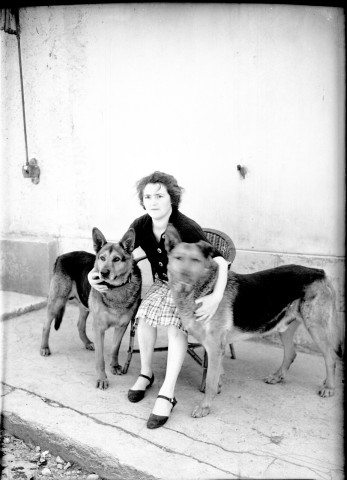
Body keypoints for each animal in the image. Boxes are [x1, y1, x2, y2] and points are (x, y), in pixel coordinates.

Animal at [41, 227, 143, 388]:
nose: (103, 273)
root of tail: (62, 256)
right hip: (57, 302)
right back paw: (44, 347)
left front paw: (114, 366)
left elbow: (115, 348)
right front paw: (102, 379)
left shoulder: (122, 326)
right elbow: (100, 359)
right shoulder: (99, 328)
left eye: (116, 259)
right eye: (102, 258)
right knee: (46, 325)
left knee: (80, 324)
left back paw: (87, 342)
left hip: (85, 305)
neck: (115, 289)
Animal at [166, 225, 342, 416]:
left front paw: (205, 406)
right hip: (284, 327)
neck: (206, 289)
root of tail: (318, 272)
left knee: (330, 357)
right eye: (178, 258)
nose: (184, 278)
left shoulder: (214, 347)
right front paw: (216, 390)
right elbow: (217, 375)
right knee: (291, 353)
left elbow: (211, 381)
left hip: (315, 328)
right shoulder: (214, 348)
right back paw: (277, 376)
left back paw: (329, 387)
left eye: (195, 260)